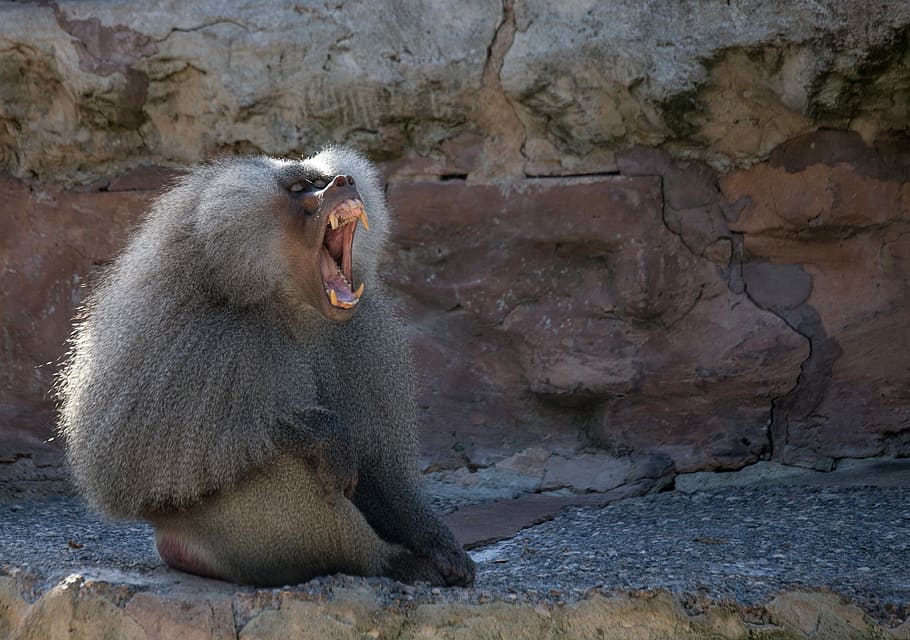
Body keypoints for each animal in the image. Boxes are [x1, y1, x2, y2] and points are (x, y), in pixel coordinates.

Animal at [56, 148, 475, 587]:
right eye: (300, 187)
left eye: (321, 178)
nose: (344, 181)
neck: (289, 302)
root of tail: (169, 545)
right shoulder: (190, 331)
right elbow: (131, 464)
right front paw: (327, 436)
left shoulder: (361, 334)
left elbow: (375, 465)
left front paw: (436, 540)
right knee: (285, 467)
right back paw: (391, 561)